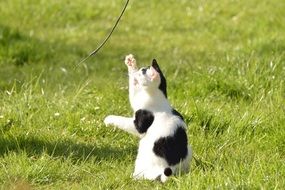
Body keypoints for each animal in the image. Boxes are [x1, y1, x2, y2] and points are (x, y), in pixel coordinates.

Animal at [103, 54, 192, 182]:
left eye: (144, 71)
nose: (141, 69)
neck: (159, 98)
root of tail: (169, 170)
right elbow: (133, 88)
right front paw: (131, 63)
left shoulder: (138, 124)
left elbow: (123, 117)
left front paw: (108, 119)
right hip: (189, 150)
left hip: (142, 156)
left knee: (141, 176)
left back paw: (131, 177)